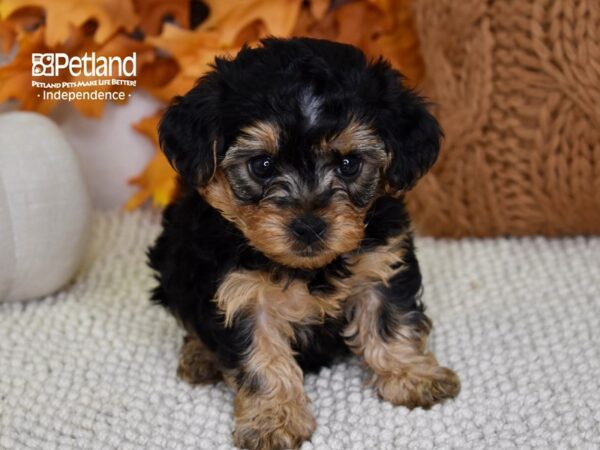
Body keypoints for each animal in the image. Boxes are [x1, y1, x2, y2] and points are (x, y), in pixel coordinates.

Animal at [150, 37, 460, 450]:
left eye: (349, 164)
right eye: (262, 165)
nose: (309, 226)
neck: (309, 268)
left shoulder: (383, 261)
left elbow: (390, 320)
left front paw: (412, 375)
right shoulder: (240, 294)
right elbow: (261, 357)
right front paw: (273, 420)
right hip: (172, 260)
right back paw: (200, 356)